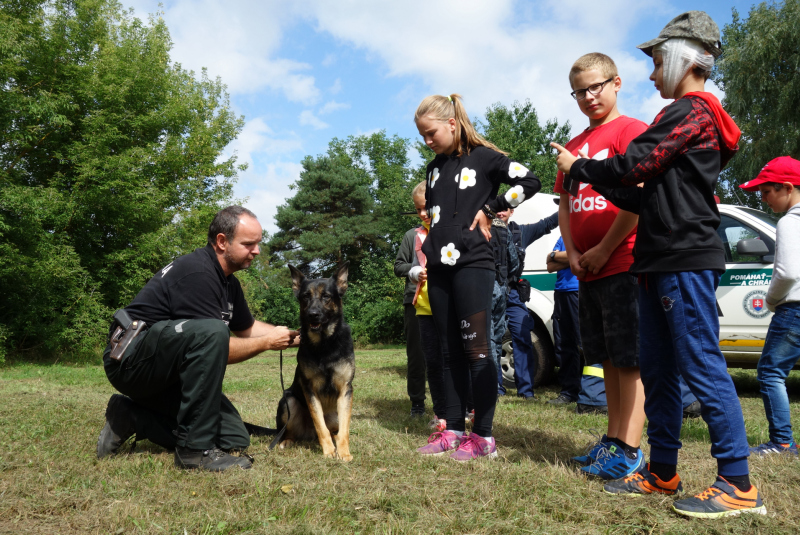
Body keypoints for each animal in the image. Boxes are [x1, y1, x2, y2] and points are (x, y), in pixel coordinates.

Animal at [278, 262, 356, 460]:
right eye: (306, 296)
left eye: (326, 296)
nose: (313, 314)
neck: (325, 344)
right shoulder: (309, 390)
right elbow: (320, 424)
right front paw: (329, 451)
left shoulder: (345, 390)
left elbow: (344, 429)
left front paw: (343, 452)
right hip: (288, 401)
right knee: (291, 431)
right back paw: (287, 441)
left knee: (336, 430)